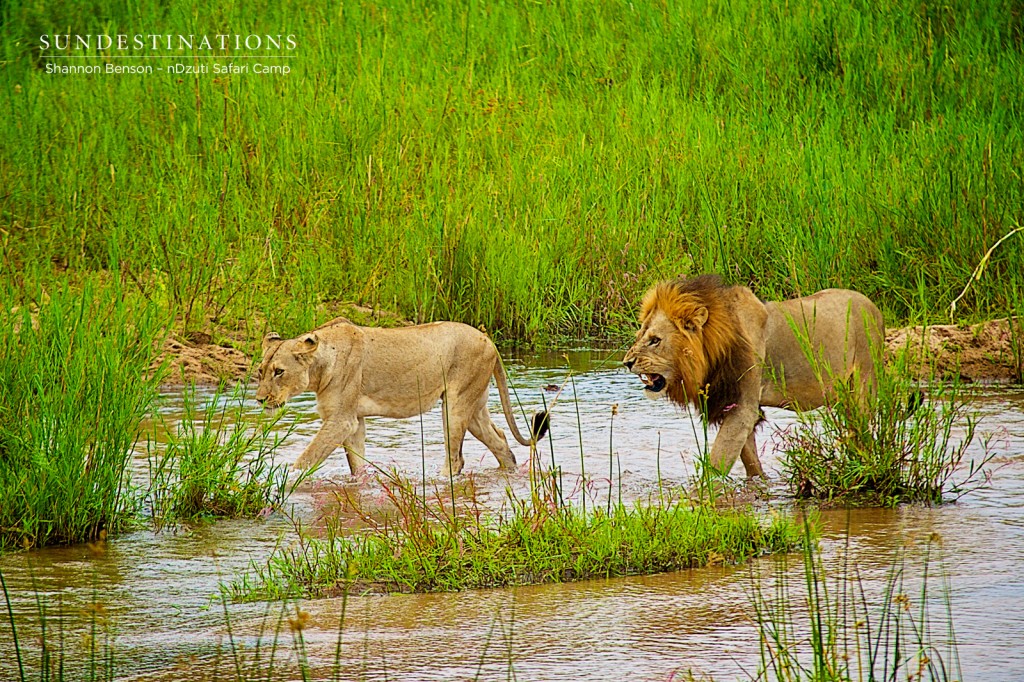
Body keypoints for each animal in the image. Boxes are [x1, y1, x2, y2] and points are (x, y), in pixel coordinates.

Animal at [256, 319, 548, 473]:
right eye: (260, 371)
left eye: (279, 371)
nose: (259, 399)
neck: (321, 362)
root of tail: (489, 341)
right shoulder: (354, 421)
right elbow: (356, 463)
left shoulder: (341, 420)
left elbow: (306, 458)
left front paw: (283, 482)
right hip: (474, 406)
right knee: (500, 441)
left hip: (456, 405)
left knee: (456, 458)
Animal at [618, 274, 884, 475]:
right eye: (640, 335)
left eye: (655, 340)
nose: (627, 362)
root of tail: (874, 306)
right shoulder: (733, 404)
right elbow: (749, 458)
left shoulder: (743, 408)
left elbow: (717, 461)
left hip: (864, 384)